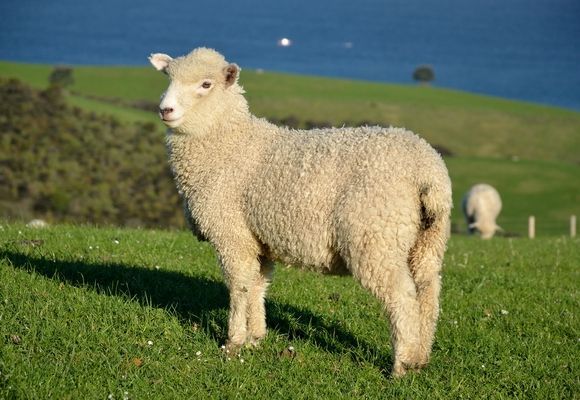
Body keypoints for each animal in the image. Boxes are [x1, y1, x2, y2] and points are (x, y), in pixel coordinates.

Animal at [146, 48, 454, 376]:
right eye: (168, 77)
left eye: (206, 84)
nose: (165, 110)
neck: (229, 144)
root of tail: (427, 170)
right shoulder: (258, 238)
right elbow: (258, 285)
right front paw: (255, 337)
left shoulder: (232, 234)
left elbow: (239, 286)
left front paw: (234, 342)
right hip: (427, 239)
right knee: (428, 293)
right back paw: (420, 357)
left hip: (375, 236)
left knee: (402, 298)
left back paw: (401, 365)